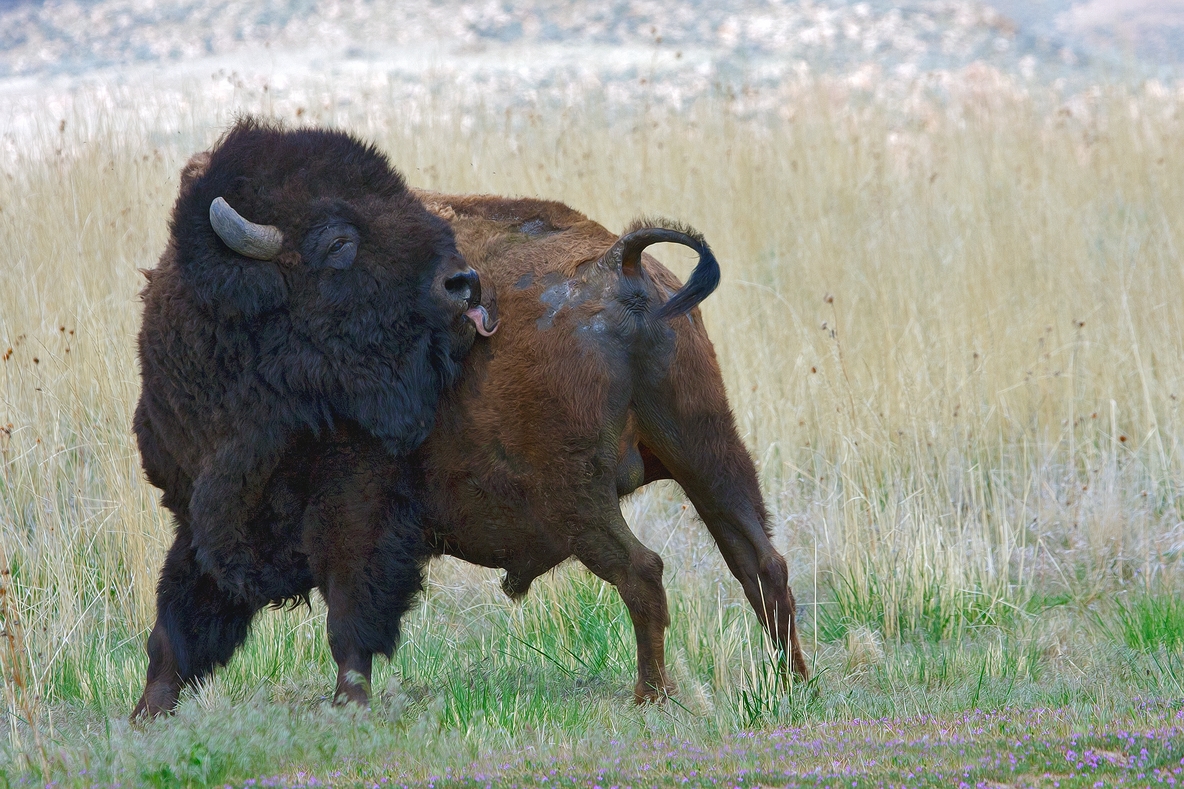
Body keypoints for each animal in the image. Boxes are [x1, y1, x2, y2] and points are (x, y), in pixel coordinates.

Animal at [132, 119, 492, 715]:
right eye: (338, 242)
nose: (463, 283)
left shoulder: (356, 497)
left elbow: (349, 606)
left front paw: (350, 700)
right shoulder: (197, 511)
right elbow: (177, 621)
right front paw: (146, 713)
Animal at [412, 193, 809, 696]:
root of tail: (618, 261)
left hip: (574, 494)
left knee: (642, 568)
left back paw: (652, 694)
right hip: (706, 450)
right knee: (762, 564)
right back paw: (793, 683)